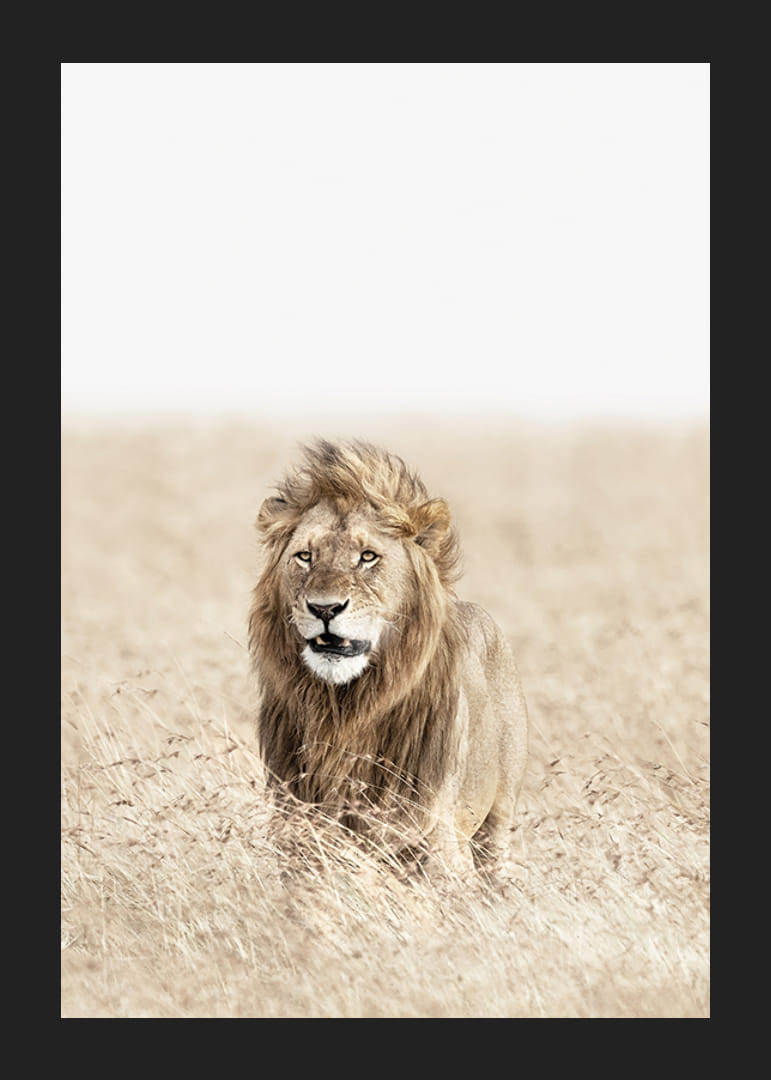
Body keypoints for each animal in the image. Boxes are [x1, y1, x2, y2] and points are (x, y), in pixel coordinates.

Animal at [248, 439, 528, 879]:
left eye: (367, 556)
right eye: (305, 556)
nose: (324, 608)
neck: (344, 711)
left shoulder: (434, 837)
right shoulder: (298, 830)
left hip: (500, 819)